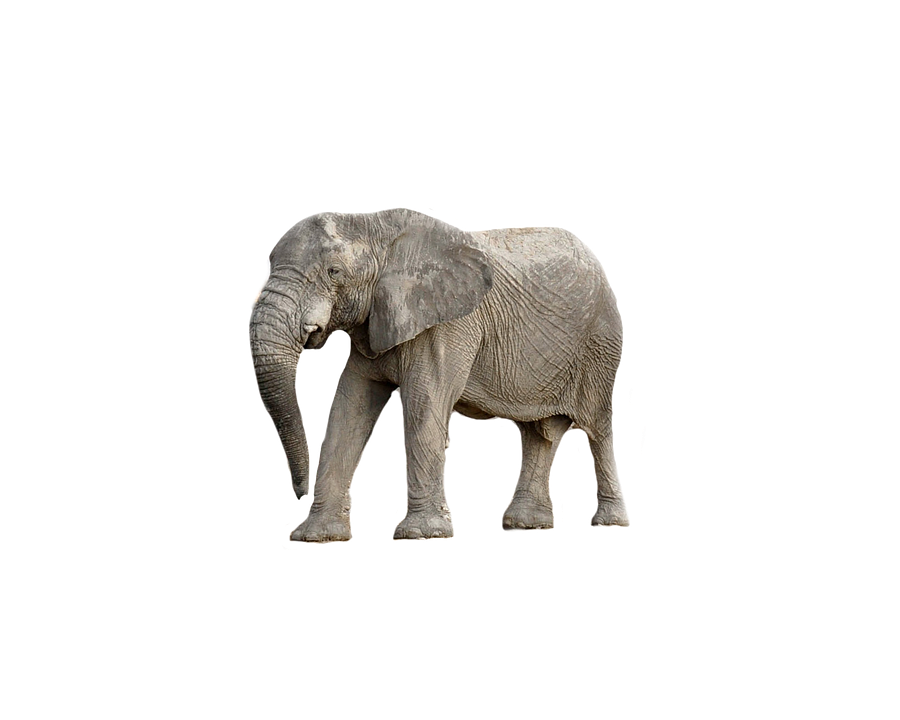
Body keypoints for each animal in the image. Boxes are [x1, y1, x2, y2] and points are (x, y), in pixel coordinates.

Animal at [248, 207, 629, 543]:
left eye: (334, 272)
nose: (298, 492)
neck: (371, 225)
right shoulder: (375, 322)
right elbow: (348, 406)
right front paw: (314, 538)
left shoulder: (449, 324)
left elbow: (424, 402)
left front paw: (421, 534)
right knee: (539, 433)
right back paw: (525, 524)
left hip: (601, 341)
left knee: (596, 425)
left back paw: (610, 522)